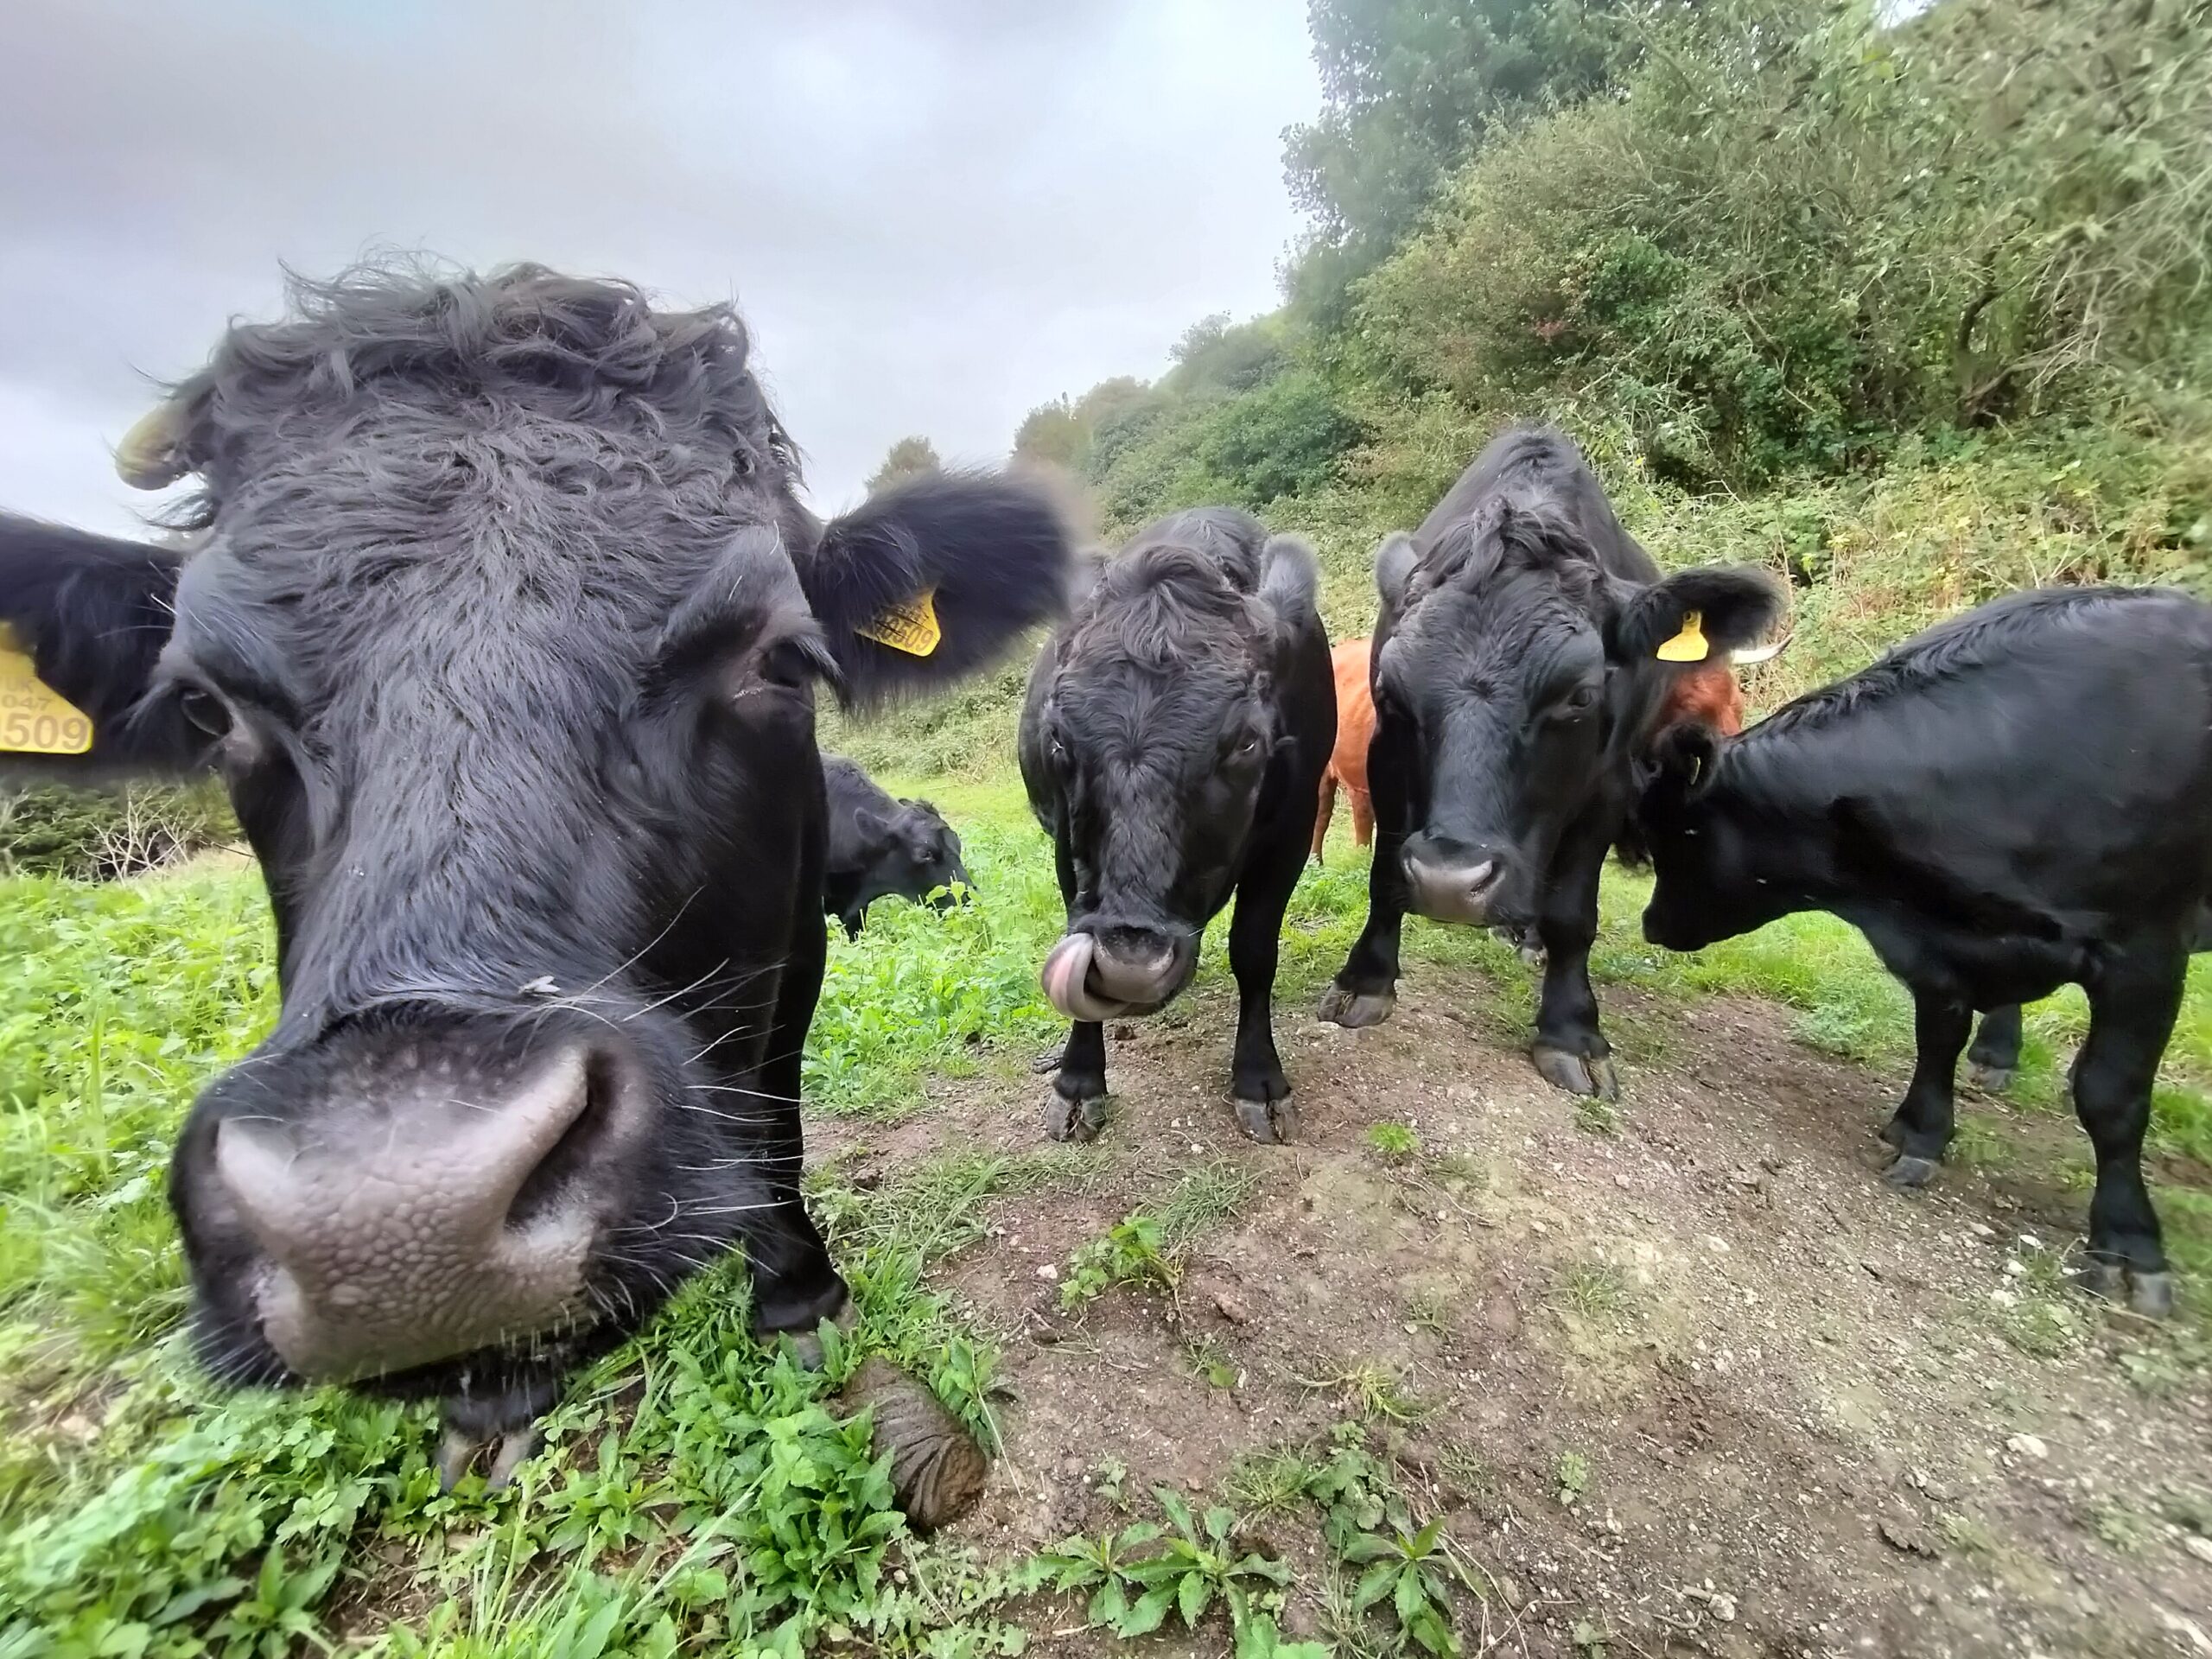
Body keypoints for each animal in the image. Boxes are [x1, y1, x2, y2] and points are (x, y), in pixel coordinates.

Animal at [1019, 509, 1334, 1145]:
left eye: (1247, 742)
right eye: (1059, 737)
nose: (1128, 968)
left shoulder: (1291, 833)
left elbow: (1254, 950)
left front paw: (1259, 1079)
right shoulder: (1066, 841)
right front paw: (1077, 1080)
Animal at [1634, 584, 2212, 1317]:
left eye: (1680, 832)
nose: (1652, 924)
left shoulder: (2146, 953)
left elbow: (2112, 1096)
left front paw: (2129, 1248)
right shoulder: (1940, 952)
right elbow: (1937, 1038)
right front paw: (1920, 1135)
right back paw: (1997, 1055)